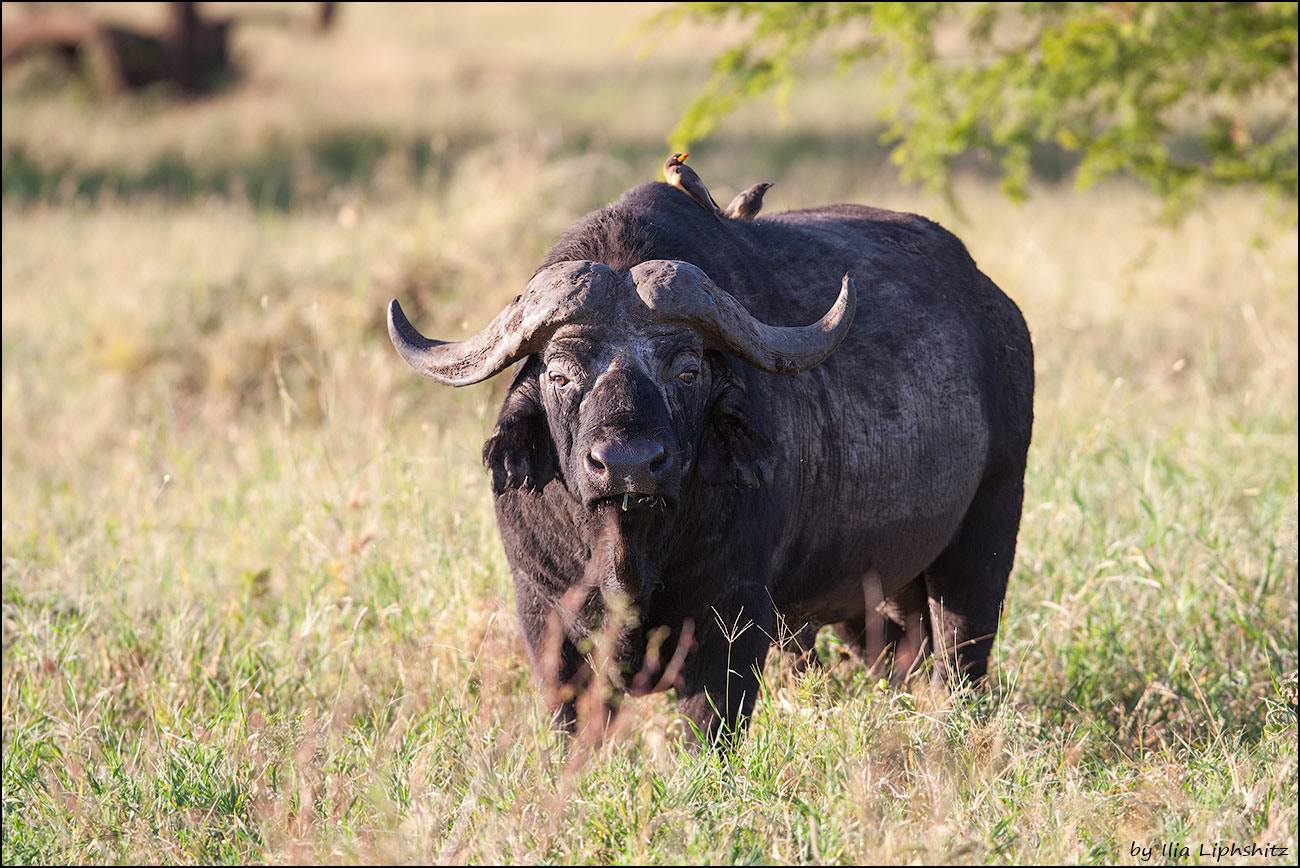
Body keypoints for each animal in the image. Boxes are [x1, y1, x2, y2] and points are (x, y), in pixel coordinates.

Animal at [387, 183, 1034, 748]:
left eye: (686, 371)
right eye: (560, 373)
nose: (626, 464)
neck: (628, 550)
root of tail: (998, 311)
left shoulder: (732, 618)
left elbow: (711, 726)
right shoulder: (543, 612)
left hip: (987, 533)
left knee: (962, 654)